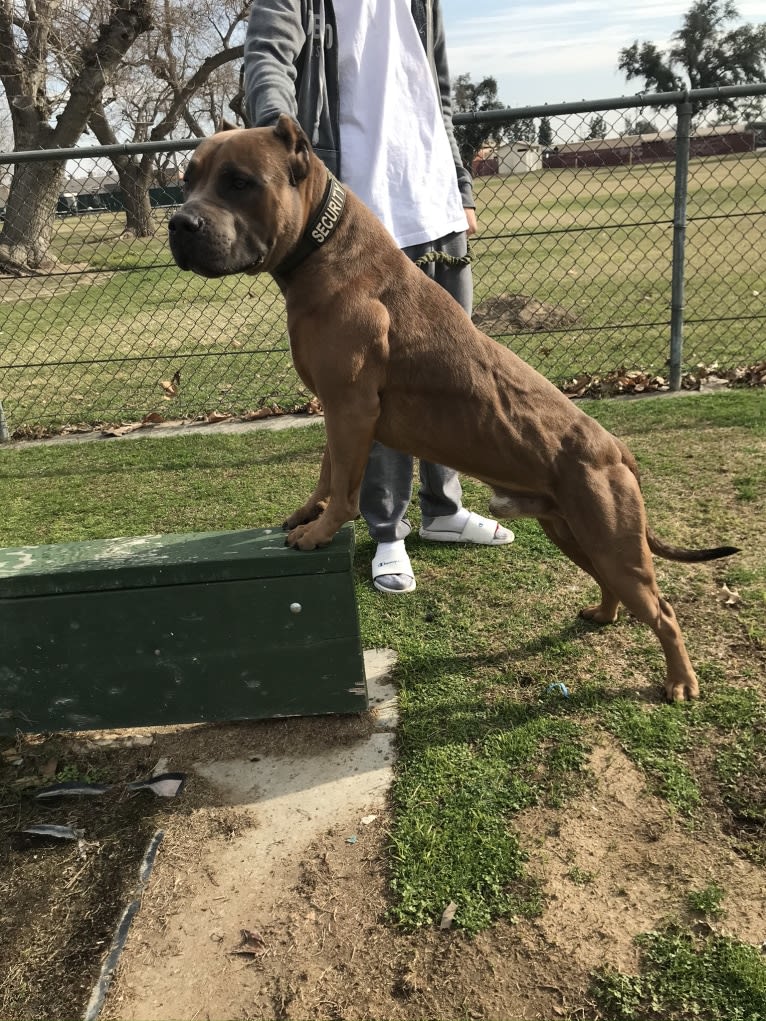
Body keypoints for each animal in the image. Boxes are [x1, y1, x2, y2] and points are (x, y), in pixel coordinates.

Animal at [169, 113, 739, 702]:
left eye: (240, 182)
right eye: (187, 181)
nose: (179, 224)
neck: (322, 249)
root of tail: (616, 449)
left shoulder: (350, 407)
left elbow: (345, 489)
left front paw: (321, 530)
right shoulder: (335, 408)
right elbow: (328, 470)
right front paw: (310, 511)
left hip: (614, 543)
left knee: (663, 611)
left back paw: (681, 682)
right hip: (574, 533)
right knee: (613, 586)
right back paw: (604, 615)